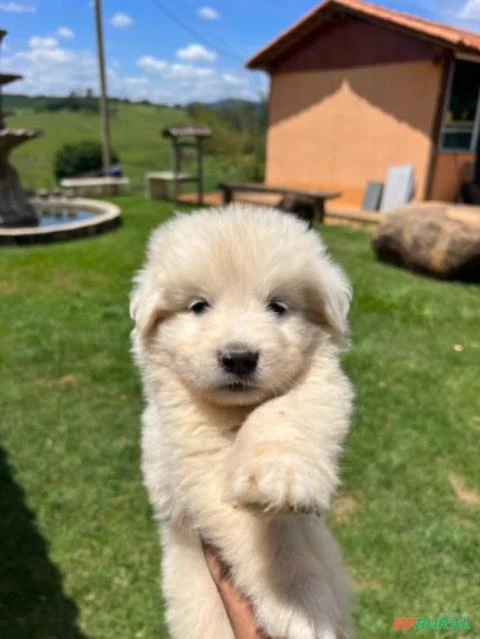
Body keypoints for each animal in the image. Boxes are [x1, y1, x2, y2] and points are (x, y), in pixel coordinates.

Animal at [130, 205, 352, 639]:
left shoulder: (319, 386)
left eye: (278, 306)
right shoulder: (197, 457)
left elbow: (284, 412)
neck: (236, 412)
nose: (239, 357)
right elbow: (267, 536)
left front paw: (279, 475)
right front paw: (299, 606)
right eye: (199, 306)